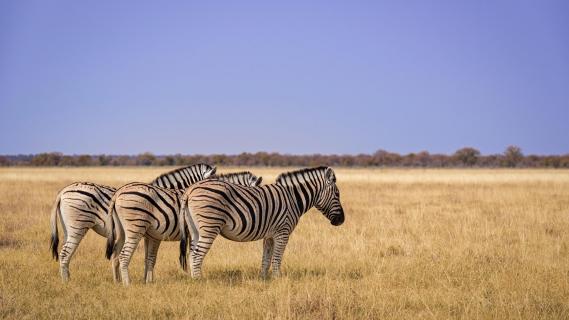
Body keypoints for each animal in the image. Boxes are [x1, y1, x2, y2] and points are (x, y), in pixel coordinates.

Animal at [48, 164, 216, 282]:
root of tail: (62, 192)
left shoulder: (150, 235)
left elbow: (148, 259)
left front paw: (146, 281)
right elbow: (189, 254)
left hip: (68, 228)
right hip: (79, 225)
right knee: (65, 253)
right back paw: (67, 282)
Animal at [104, 170, 262, 284]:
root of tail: (118, 193)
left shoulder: (152, 235)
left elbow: (150, 259)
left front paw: (148, 282)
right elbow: (191, 253)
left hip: (121, 231)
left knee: (115, 255)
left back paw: (117, 281)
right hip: (134, 226)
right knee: (123, 255)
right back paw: (127, 283)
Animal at [180, 166, 344, 278]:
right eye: (337, 194)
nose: (342, 220)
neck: (293, 198)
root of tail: (190, 190)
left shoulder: (269, 235)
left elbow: (266, 258)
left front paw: (264, 279)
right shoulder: (283, 232)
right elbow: (277, 258)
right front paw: (278, 280)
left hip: (195, 229)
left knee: (192, 253)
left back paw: (193, 278)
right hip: (209, 226)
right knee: (197, 255)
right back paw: (199, 281)